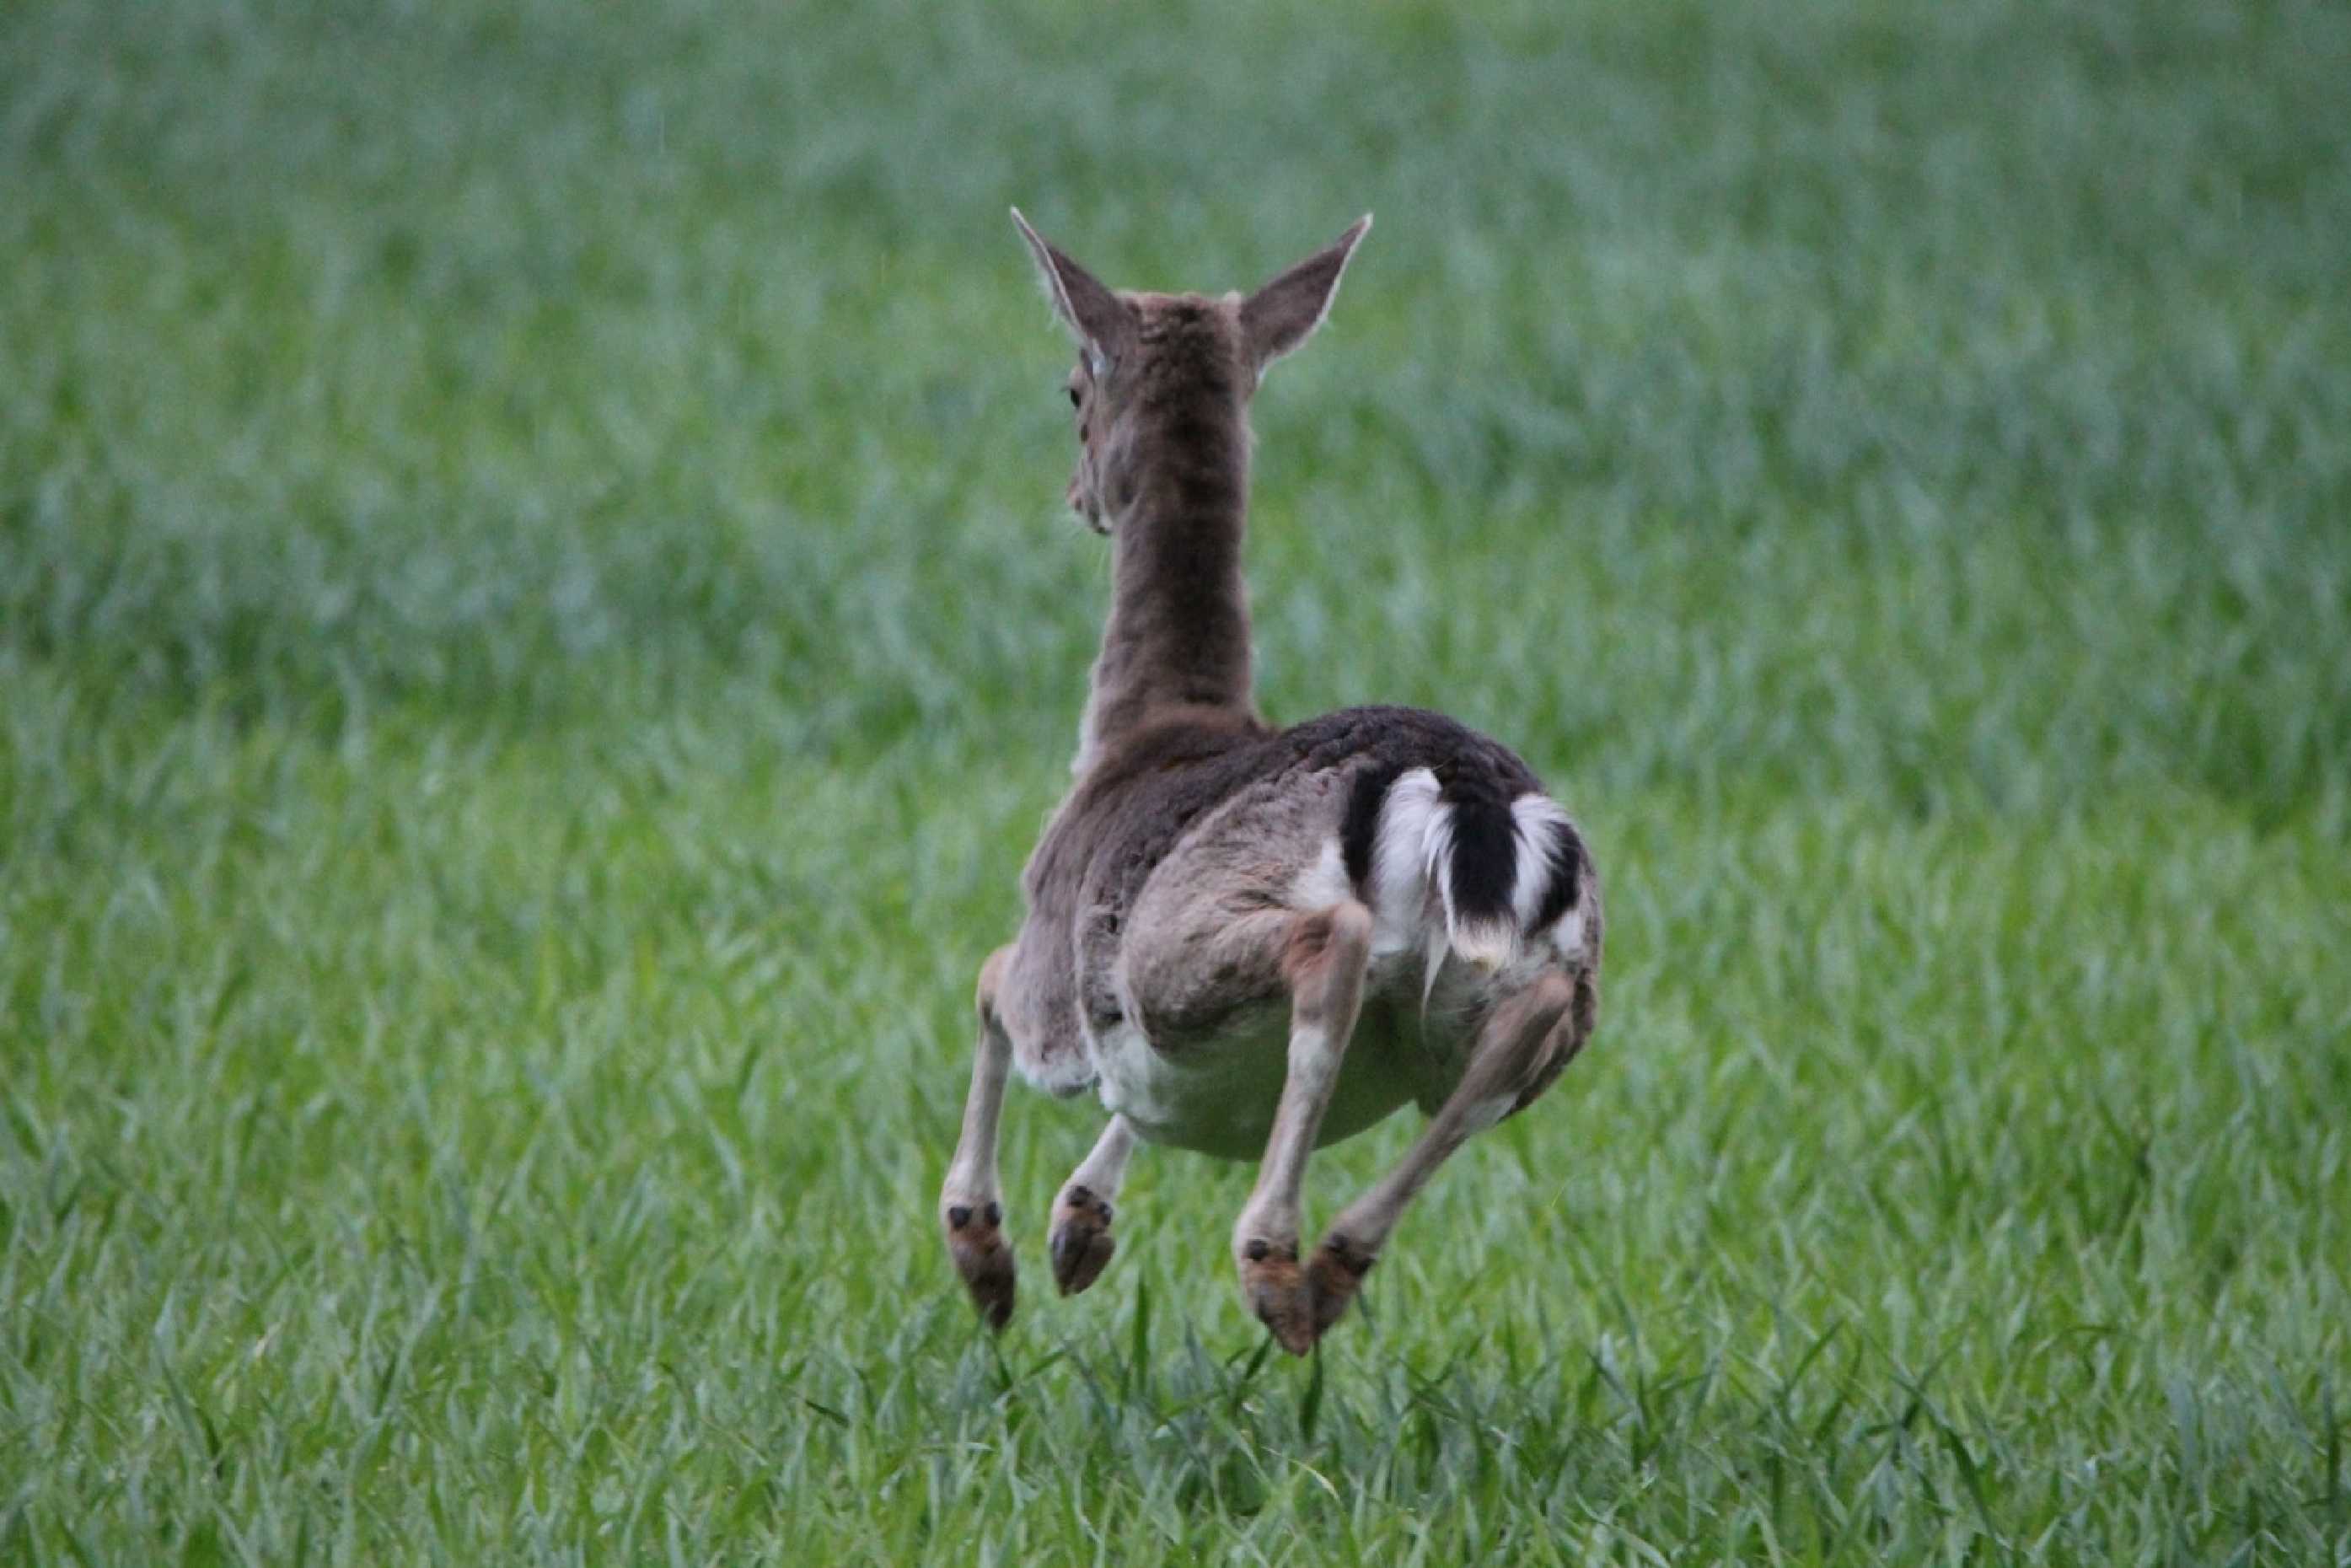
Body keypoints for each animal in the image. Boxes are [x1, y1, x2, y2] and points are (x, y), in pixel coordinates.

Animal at [936, 211, 1598, 1363]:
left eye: (1071, 389)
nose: (1075, 497)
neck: (1139, 731)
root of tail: (1463, 797)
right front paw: (1078, 1226)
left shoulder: (1058, 967)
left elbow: (985, 980)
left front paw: (988, 1254)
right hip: (1525, 989)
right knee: (1519, 1039)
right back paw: (1329, 1270)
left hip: (1180, 941)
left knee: (1326, 946)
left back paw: (1274, 1263)